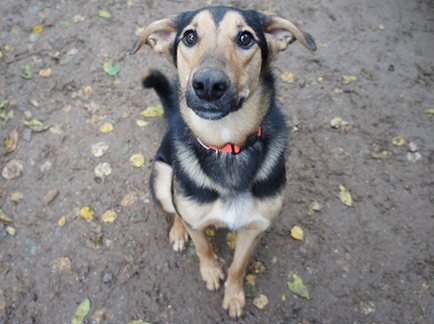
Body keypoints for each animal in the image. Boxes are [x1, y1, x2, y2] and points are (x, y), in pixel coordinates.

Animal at [129, 6, 316, 318]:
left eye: (245, 38)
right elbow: (202, 246)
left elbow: (239, 266)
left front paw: (235, 296)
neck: (226, 145)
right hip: (162, 175)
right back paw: (178, 231)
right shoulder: (194, 218)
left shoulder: (254, 227)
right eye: (190, 36)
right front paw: (210, 271)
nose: (208, 85)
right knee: (174, 206)